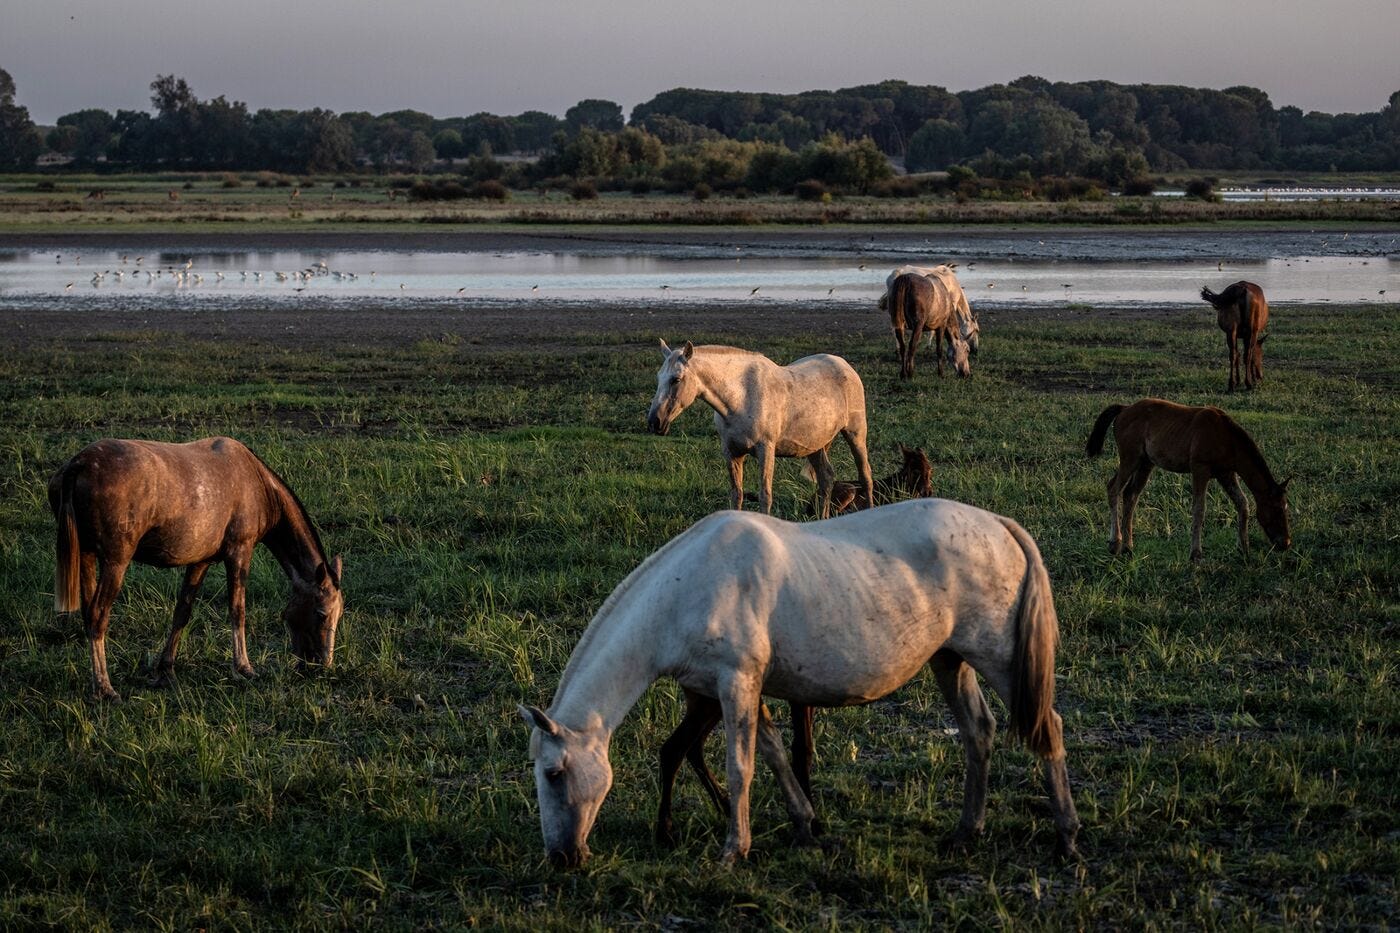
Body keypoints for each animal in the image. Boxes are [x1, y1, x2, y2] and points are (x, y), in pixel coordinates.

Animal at [50, 437, 345, 697]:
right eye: (321, 614)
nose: (322, 665)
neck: (258, 483)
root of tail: (79, 463)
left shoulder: (200, 561)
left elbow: (182, 611)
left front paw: (166, 670)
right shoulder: (240, 552)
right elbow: (237, 610)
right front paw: (243, 667)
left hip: (87, 555)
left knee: (89, 614)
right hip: (115, 562)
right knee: (98, 615)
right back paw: (104, 688)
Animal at [526, 498, 1080, 868]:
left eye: (554, 773)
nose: (561, 858)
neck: (690, 587)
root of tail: (1000, 525)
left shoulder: (736, 683)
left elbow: (741, 768)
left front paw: (734, 850)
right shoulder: (739, 690)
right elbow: (774, 756)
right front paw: (807, 827)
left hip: (999, 659)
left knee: (1049, 727)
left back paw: (1067, 837)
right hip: (951, 661)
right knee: (979, 732)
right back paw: (967, 832)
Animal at [646, 340, 868, 518]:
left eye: (676, 379)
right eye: (658, 377)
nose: (654, 422)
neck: (741, 397)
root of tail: (845, 366)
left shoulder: (765, 449)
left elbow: (765, 495)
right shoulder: (732, 453)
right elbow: (737, 494)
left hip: (856, 435)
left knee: (865, 477)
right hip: (815, 445)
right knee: (826, 479)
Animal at [1086, 395, 1293, 560]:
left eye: (1285, 508)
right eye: (1276, 509)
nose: (1286, 543)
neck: (1226, 436)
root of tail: (1125, 408)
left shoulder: (1226, 473)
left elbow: (1243, 504)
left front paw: (1243, 549)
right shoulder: (1200, 469)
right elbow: (1199, 509)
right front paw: (1195, 554)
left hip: (1146, 463)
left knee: (1131, 494)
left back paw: (1128, 547)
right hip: (1130, 458)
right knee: (1114, 488)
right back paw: (1115, 543)